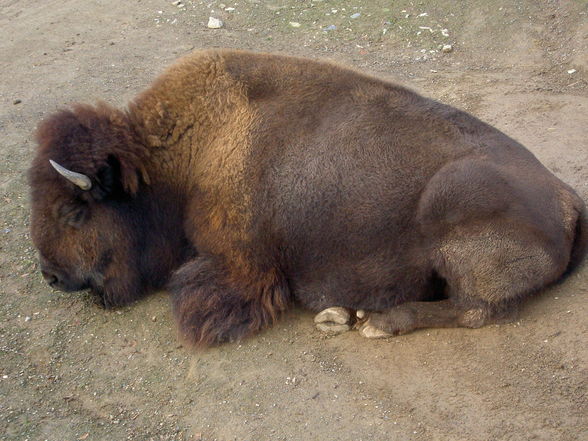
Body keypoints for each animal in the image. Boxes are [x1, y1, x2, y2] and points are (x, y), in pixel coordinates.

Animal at [28, 48, 588, 344]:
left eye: (74, 210)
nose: (50, 276)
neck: (183, 157)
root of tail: (567, 198)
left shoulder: (243, 264)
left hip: (452, 210)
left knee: (475, 310)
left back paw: (375, 321)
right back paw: (347, 314)